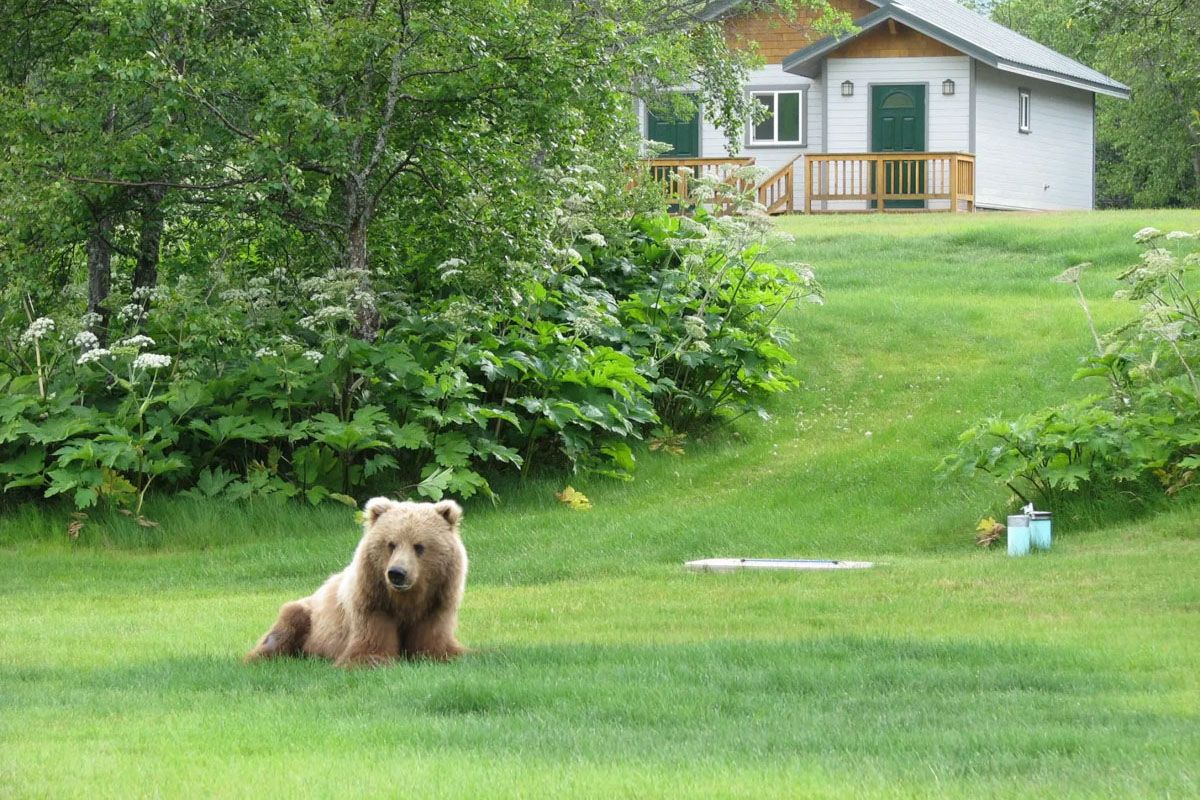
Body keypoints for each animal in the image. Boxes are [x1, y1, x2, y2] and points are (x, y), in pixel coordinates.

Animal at [245, 497, 468, 667]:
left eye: (419, 546)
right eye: (391, 544)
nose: (397, 573)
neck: (406, 601)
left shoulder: (434, 606)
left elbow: (436, 644)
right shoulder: (372, 604)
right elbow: (368, 647)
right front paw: (372, 660)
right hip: (307, 615)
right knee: (283, 629)